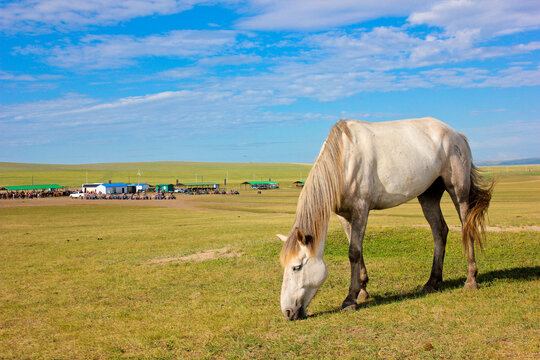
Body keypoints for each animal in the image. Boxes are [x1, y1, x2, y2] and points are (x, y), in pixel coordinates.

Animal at [278, 118, 494, 320]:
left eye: (296, 267)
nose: (287, 311)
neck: (343, 160)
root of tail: (457, 134)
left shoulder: (361, 209)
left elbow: (354, 252)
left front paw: (350, 299)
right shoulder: (344, 215)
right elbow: (356, 250)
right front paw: (362, 291)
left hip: (458, 191)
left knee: (467, 228)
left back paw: (471, 280)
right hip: (428, 194)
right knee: (439, 231)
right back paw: (432, 282)